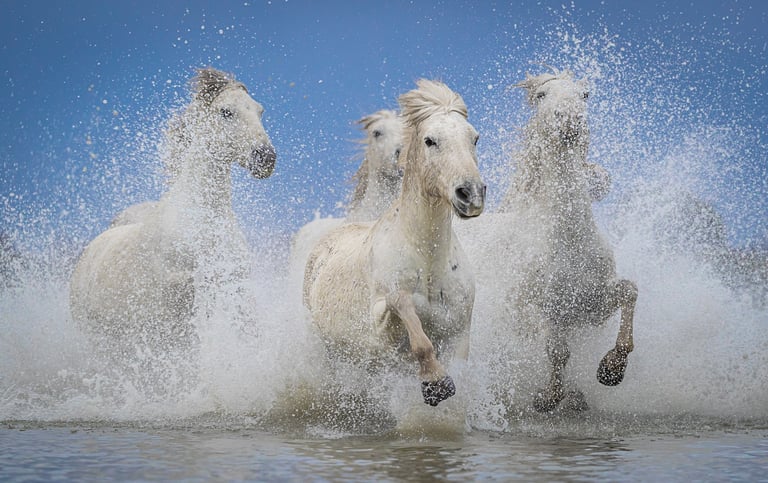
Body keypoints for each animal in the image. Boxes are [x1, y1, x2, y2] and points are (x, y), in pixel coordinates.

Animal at [69, 67, 276, 353]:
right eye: (226, 111)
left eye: (259, 111)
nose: (265, 158)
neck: (204, 219)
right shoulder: (177, 286)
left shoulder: (237, 282)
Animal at [303, 79, 486, 407]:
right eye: (429, 140)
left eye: (474, 138)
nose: (471, 193)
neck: (427, 260)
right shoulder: (380, 328)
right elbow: (403, 306)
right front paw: (435, 383)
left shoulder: (459, 332)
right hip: (331, 350)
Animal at [472, 68, 637, 412]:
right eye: (541, 96)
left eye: (585, 95)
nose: (570, 120)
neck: (568, 239)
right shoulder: (547, 312)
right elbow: (557, 351)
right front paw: (547, 398)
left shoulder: (592, 304)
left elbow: (630, 291)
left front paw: (611, 369)